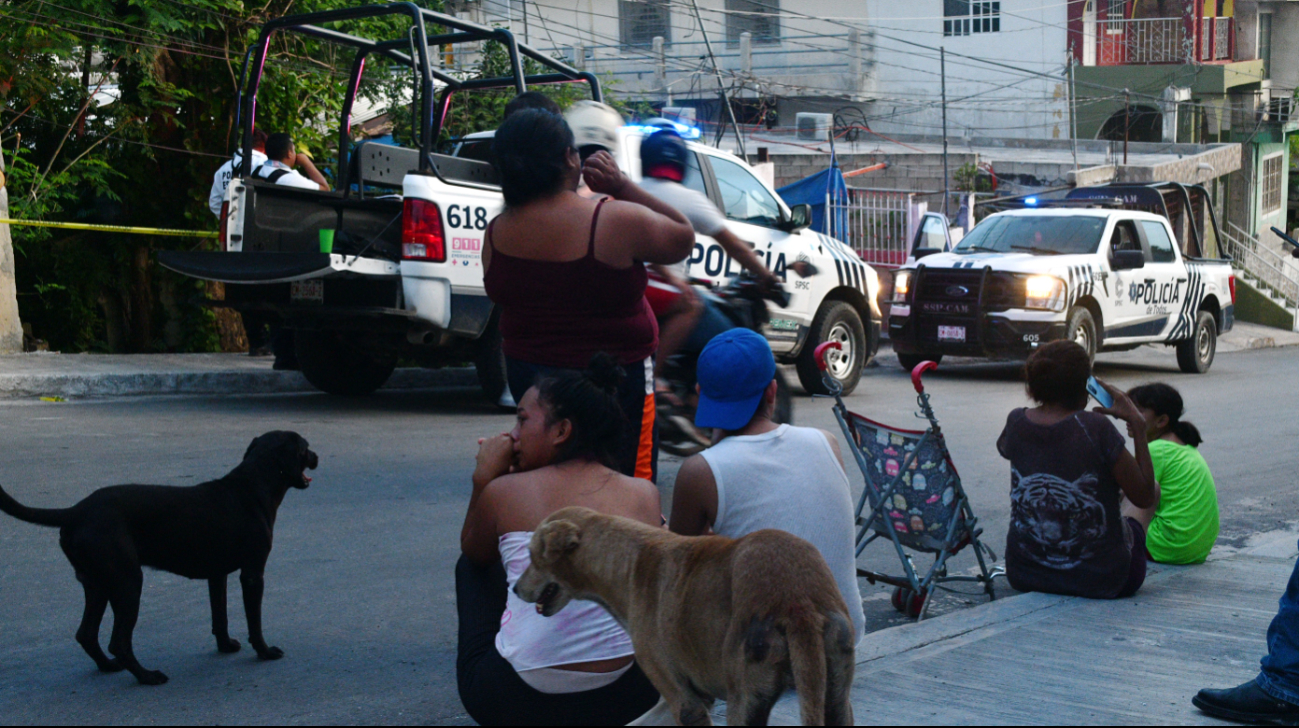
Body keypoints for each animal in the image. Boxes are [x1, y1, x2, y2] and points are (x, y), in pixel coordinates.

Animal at [0, 431, 317, 685]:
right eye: (305, 447)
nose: (317, 456)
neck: (253, 484)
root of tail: (75, 511)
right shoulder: (252, 574)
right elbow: (254, 621)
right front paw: (265, 651)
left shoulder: (217, 575)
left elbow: (220, 616)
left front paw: (225, 646)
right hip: (128, 583)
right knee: (119, 642)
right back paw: (148, 677)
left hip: (98, 584)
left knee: (86, 634)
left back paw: (109, 667)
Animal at [516, 507, 855, 726]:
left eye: (532, 555)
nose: (515, 588)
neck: (627, 560)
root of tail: (797, 600)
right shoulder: (684, 701)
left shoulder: (685, 703)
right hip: (835, 697)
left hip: (744, 701)